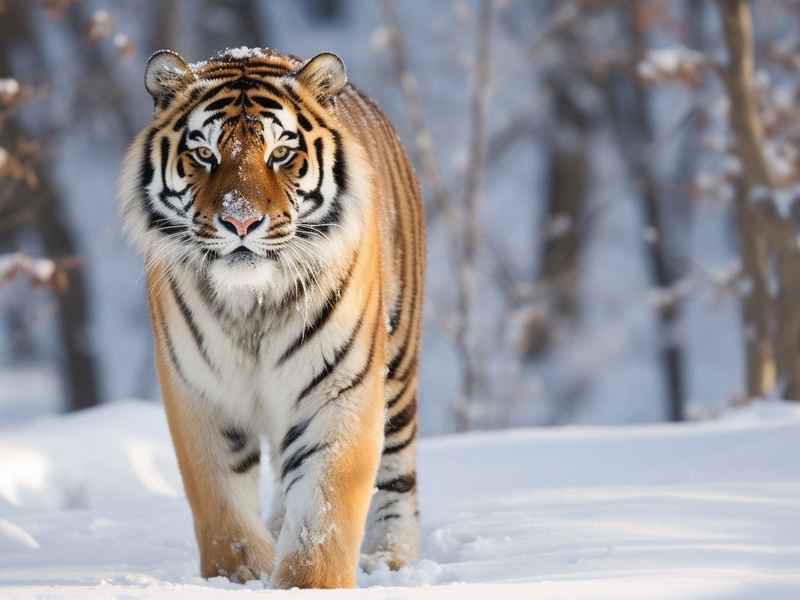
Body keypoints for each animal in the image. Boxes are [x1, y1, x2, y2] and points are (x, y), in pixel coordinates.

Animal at [119, 48, 424, 588]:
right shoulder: (200, 393)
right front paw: (240, 576)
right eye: (204, 154)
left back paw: (389, 559)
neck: (253, 305)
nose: (240, 221)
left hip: (398, 365)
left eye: (280, 154)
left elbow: (324, 511)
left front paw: (307, 585)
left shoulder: (339, 390)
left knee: (397, 474)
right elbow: (221, 508)